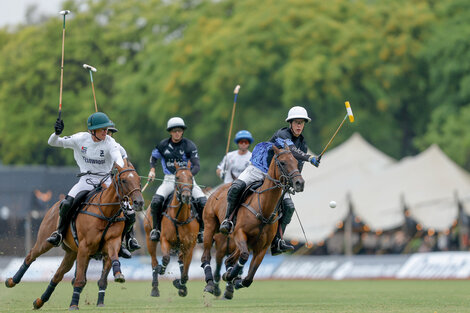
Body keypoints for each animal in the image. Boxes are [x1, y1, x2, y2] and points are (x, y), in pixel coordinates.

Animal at [4, 160, 143, 308]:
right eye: (124, 180)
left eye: (139, 180)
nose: (139, 202)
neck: (106, 213)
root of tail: (55, 205)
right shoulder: (84, 247)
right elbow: (80, 280)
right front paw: (73, 305)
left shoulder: (112, 243)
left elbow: (105, 274)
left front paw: (117, 276)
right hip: (45, 242)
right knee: (31, 256)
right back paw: (12, 281)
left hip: (71, 253)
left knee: (57, 275)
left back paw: (39, 301)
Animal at [145, 162, 200, 296]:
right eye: (177, 177)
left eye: (191, 177)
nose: (186, 196)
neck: (180, 217)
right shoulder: (165, 240)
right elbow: (165, 258)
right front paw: (161, 269)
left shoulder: (189, 245)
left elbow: (185, 273)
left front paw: (181, 285)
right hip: (149, 239)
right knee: (153, 262)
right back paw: (155, 288)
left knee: (180, 261)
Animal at [202, 144, 304, 292]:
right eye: (283, 162)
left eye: (296, 162)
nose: (299, 183)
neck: (264, 209)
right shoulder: (239, 233)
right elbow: (243, 257)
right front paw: (230, 276)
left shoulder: (262, 247)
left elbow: (249, 279)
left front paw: (235, 280)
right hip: (210, 226)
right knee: (206, 256)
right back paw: (210, 283)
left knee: (230, 259)